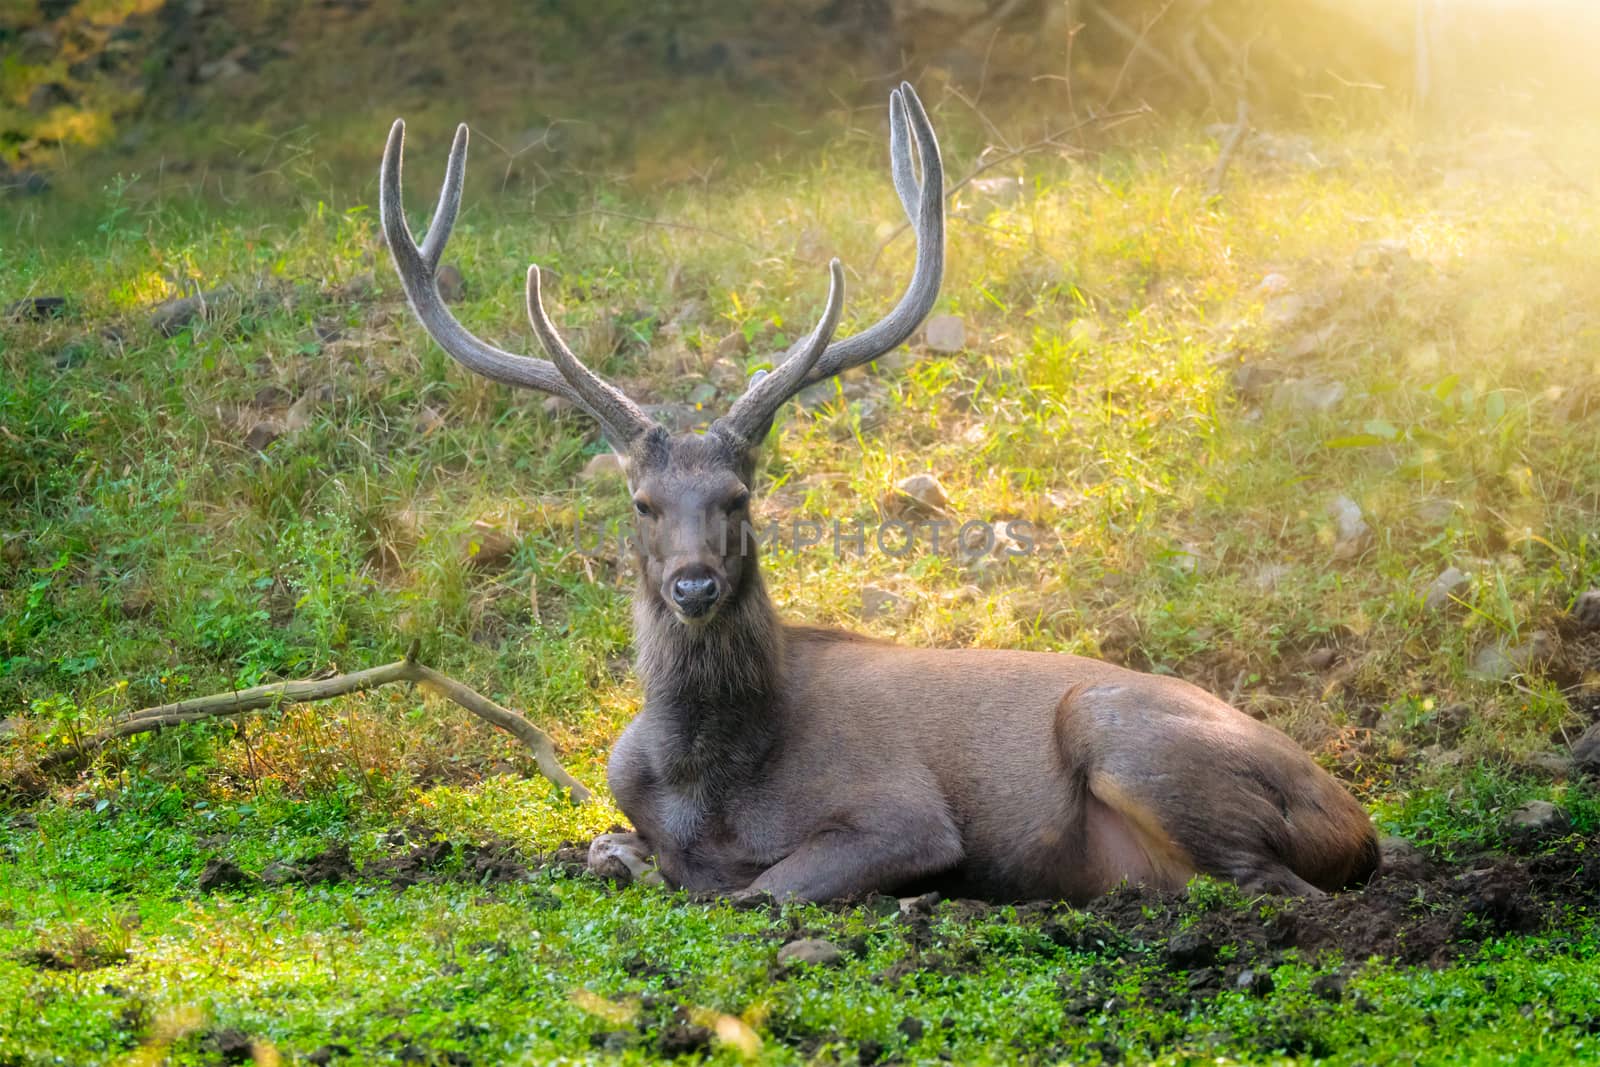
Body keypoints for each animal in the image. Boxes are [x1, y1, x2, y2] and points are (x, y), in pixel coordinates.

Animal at [380, 85, 1382, 902]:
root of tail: (1362, 824)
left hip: (1127, 733)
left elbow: (757, 888)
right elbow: (611, 850)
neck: (708, 782)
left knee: (1272, 887)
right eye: (642, 502)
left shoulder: (902, 811)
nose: (694, 584)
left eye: (740, 496)